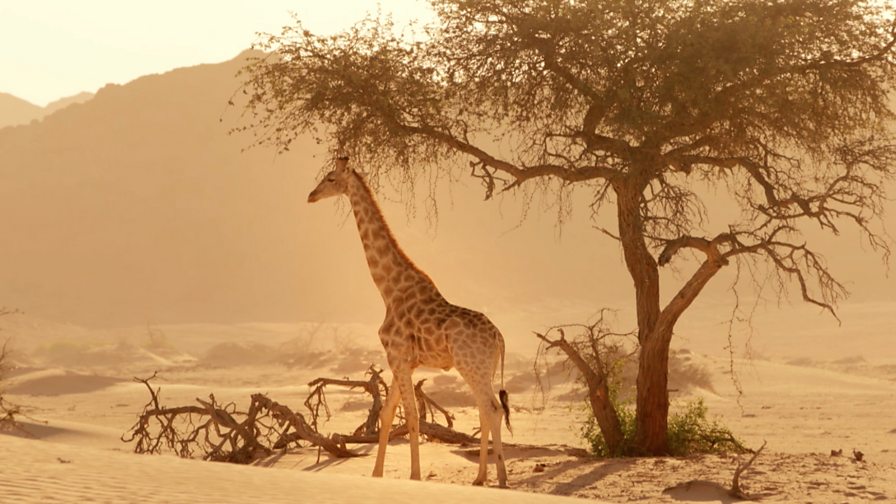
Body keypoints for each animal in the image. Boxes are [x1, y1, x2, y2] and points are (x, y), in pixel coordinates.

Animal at [308, 156, 511, 487]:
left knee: (492, 409)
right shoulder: (400, 360)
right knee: (485, 409)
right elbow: (388, 414)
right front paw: (376, 473)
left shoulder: (398, 355)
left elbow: (412, 415)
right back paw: (480, 477)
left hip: (471, 365)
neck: (389, 290)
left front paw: (414, 476)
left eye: (330, 178)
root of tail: (499, 338)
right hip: (485, 370)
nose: (310, 195)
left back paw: (502, 479)